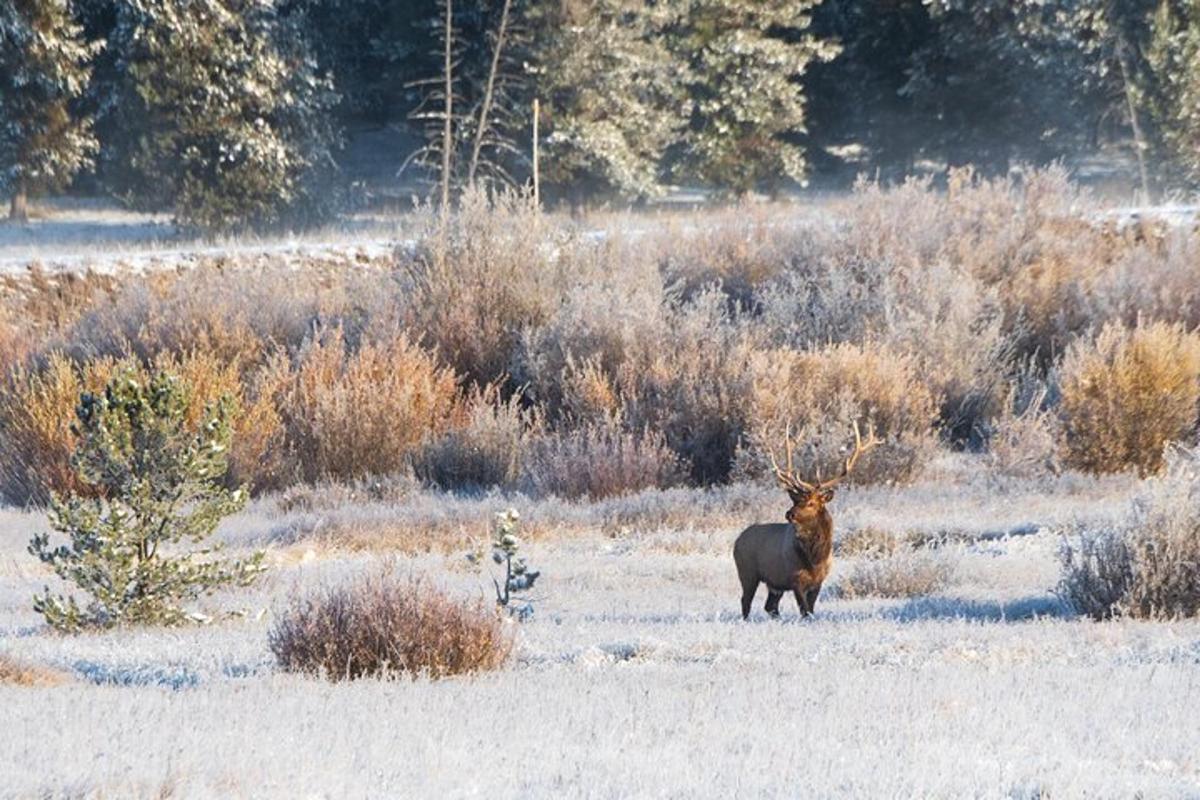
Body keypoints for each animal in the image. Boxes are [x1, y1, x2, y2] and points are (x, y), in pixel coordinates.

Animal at [729, 422, 883, 623]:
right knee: (746, 601)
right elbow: (805, 611)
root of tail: (738, 540)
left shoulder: (818, 581)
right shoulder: (796, 579)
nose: (789, 514)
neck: (815, 559)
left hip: (774, 584)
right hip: (747, 572)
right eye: (796, 500)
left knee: (770, 606)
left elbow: (810, 610)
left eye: (811, 503)